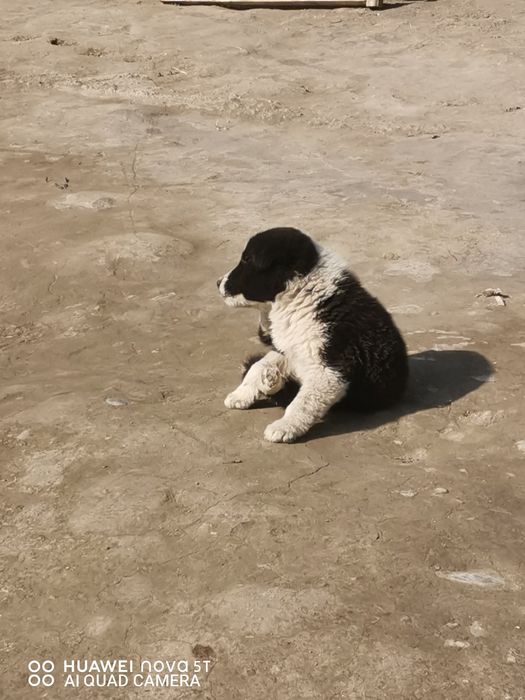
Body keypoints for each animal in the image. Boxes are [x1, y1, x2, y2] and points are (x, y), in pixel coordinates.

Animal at [217, 227, 408, 443]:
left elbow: (303, 401)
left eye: (246, 260)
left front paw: (284, 427)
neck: (302, 296)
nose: (217, 283)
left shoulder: (329, 370)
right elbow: (257, 367)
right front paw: (240, 395)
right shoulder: (290, 349)